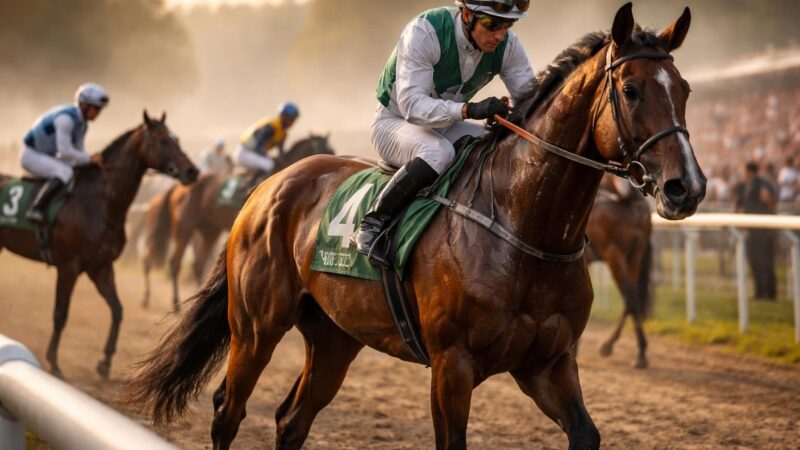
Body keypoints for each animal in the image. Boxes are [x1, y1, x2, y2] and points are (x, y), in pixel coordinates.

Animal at [0, 111, 198, 378]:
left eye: (176, 138)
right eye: (163, 140)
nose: (192, 171)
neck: (100, 202)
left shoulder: (100, 267)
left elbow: (117, 309)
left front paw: (105, 362)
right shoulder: (69, 266)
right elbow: (61, 314)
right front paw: (54, 362)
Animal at [141, 134, 335, 311]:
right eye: (327, 150)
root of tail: (177, 187)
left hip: (209, 230)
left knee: (198, 265)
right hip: (185, 226)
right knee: (174, 262)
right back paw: (174, 303)